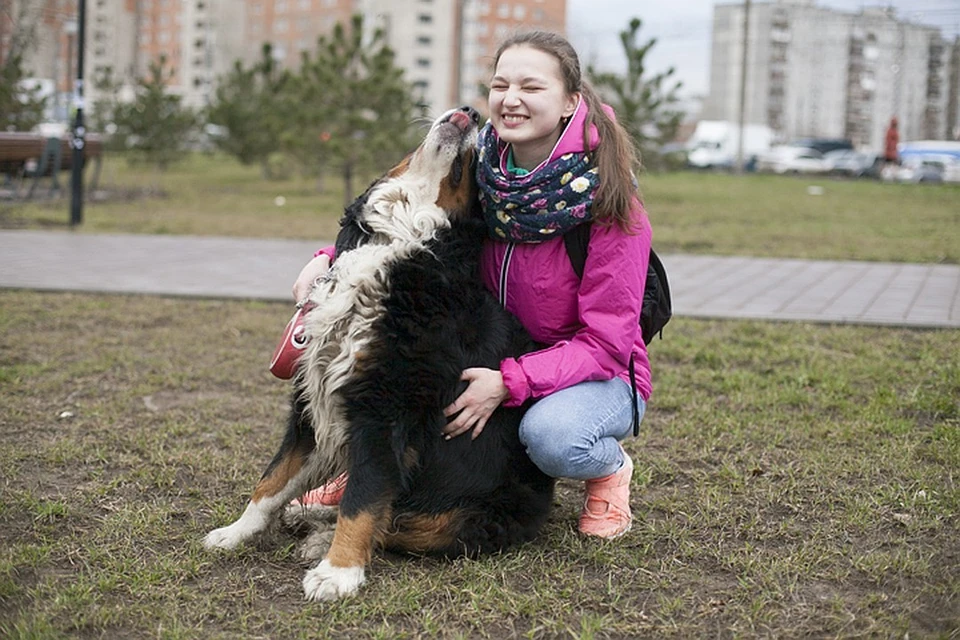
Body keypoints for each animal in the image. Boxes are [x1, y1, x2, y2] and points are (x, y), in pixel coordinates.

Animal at [206, 105, 560, 600]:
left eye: (476, 165)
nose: (471, 111)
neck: (398, 242)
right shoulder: (311, 403)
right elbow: (271, 481)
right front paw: (235, 532)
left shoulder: (383, 411)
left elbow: (365, 499)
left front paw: (339, 572)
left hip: (473, 513)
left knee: (401, 520)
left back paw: (321, 537)